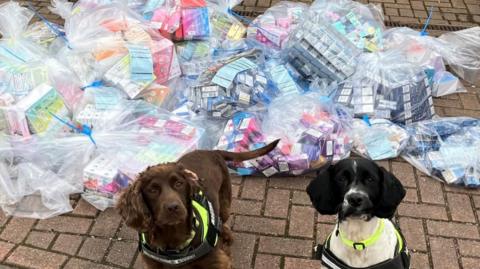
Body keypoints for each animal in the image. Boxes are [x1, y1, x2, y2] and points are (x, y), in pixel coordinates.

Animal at [116, 139, 280, 266]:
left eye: (179, 184)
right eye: (152, 190)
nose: (173, 207)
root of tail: (212, 151)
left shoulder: (218, 261)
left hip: (224, 202)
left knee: (222, 219)